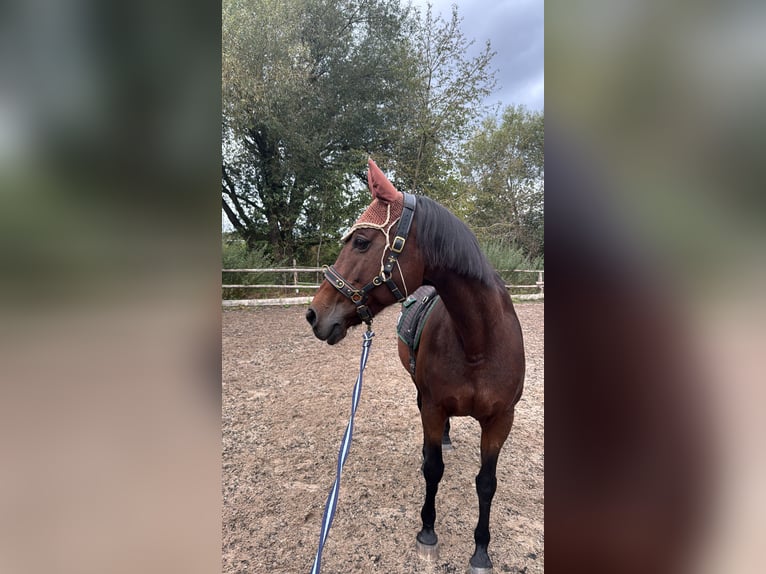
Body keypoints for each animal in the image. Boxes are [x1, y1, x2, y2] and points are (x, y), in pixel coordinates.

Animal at [308, 159, 528, 574]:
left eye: (362, 242)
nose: (314, 314)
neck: (478, 343)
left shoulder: (500, 421)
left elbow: (486, 482)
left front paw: (481, 550)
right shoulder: (433, 406)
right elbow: (433, 469)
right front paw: (428, 532)